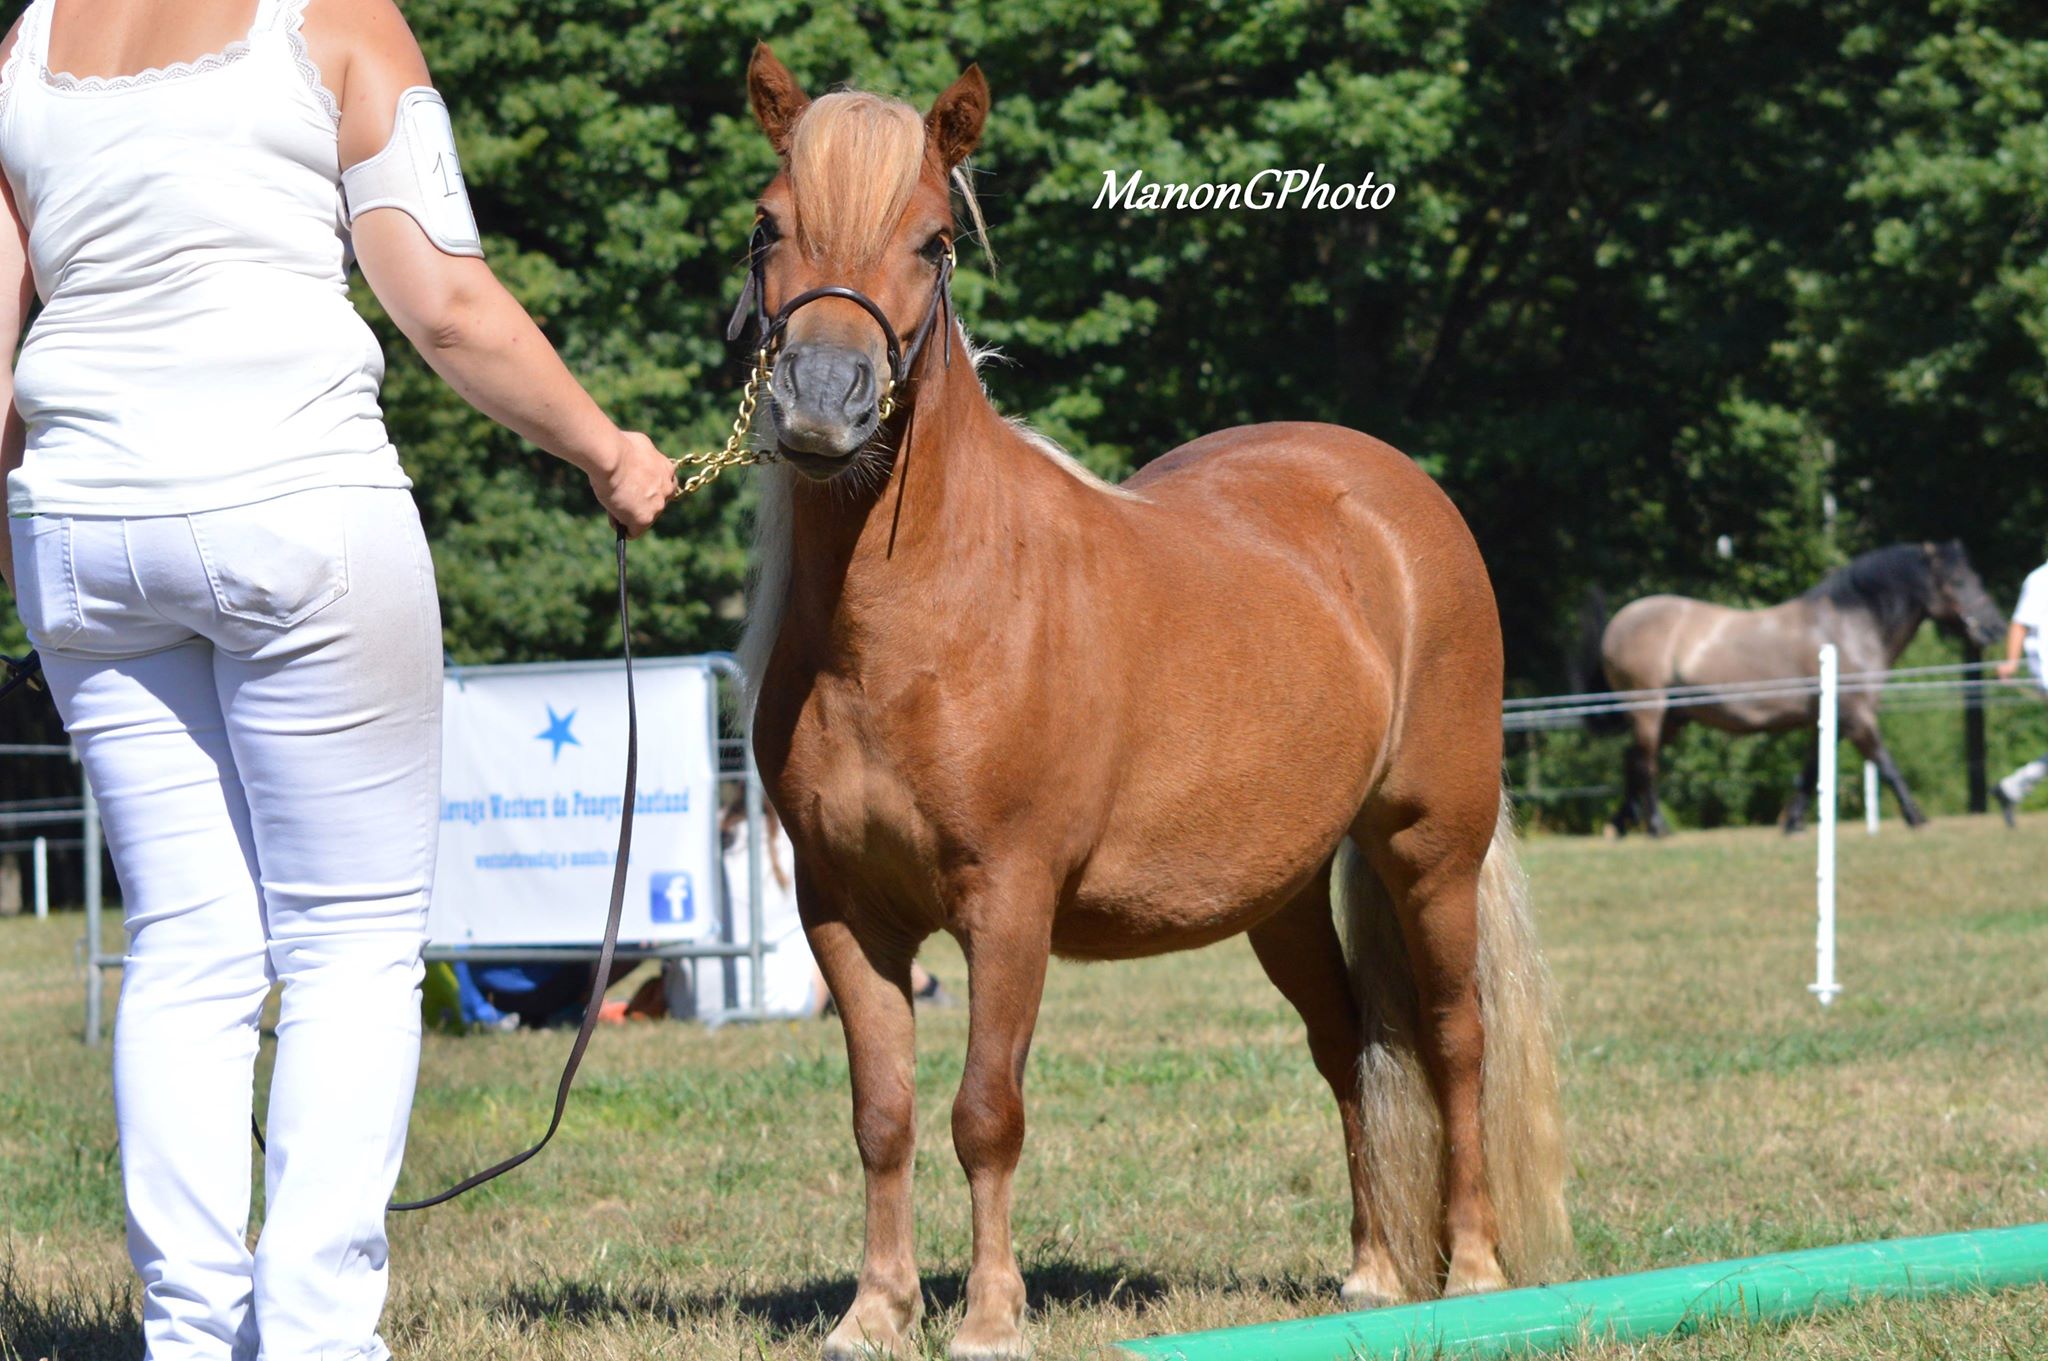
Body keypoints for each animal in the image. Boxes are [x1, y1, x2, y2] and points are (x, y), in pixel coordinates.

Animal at [733, 45, 1564, 1358]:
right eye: (768, 226)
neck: (913, 626)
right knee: (1347, 1045)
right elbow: (883, 1112)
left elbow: (984, 1108)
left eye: (930, 240)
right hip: (1283, 890)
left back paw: (1474, 1270)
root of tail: (1393, 490)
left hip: (1428, 846)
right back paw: (1373, 1272)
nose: (822, 401)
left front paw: (989, 1316)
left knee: (1450, 1036)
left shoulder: (1008, 902)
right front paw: (873, 1312)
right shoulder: (842, 911)